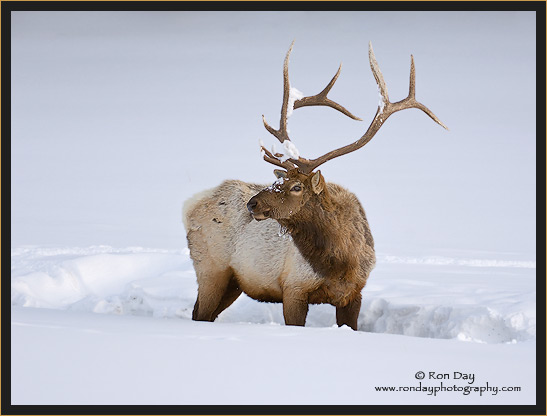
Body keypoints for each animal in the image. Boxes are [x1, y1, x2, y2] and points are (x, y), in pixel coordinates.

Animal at [182, 41, 448, 328]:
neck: (341, 263)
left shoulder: (354, 294)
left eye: (297, 187)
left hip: (233, 282)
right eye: (279, 180)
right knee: (201, 313)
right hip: (212, 270)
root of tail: (190, 205)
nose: (252, 204)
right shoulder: (293, 288)